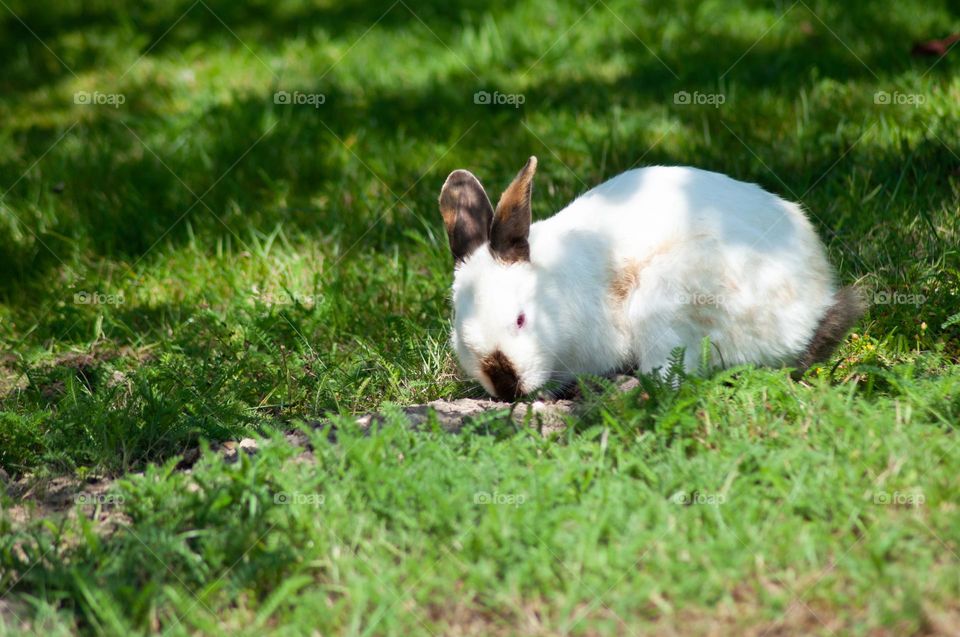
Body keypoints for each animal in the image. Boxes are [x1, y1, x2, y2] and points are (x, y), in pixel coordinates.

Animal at [438, 156, 865, 400]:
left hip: (666, 303)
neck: (555, 287)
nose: (505, 386)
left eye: (521, 320)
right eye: (460, 332)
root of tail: (813, 314)